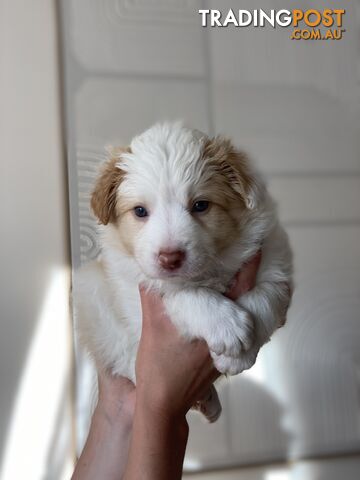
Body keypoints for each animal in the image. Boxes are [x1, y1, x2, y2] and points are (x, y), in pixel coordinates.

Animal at [75, 122, 292, 422]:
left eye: (200, 205)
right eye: (140, 211)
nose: (170, 258)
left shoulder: (275, 261)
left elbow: (265, 297)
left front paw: (239, 355)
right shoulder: (138, 287)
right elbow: (182, 294)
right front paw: (228, 327)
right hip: (91, 294)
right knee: (123, 356)